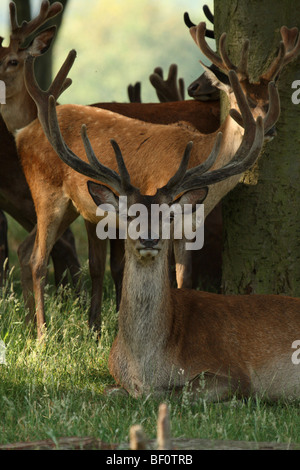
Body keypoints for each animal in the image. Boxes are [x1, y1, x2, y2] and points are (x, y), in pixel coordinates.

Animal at [38, 95, 300, 400]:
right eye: (129, 214)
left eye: (168, 216)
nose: (149, 239)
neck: (144, 366)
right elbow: (110, 390)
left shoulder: (234, 373)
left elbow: (176, 392)